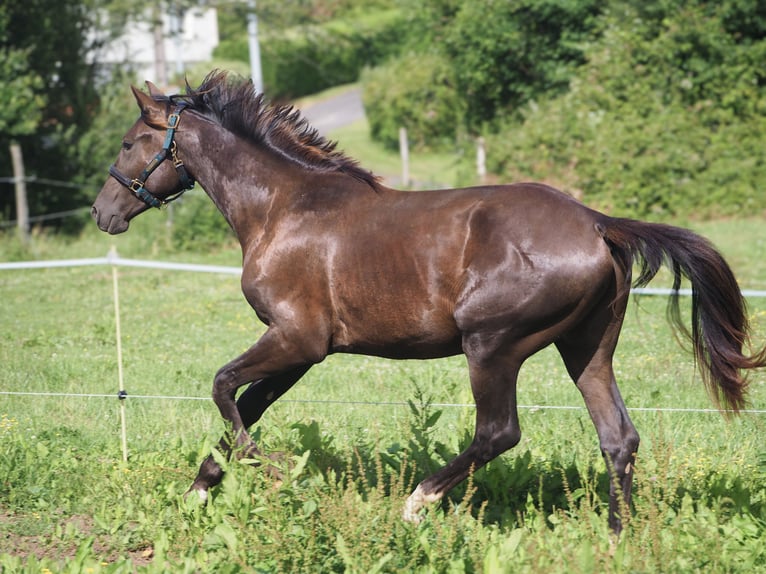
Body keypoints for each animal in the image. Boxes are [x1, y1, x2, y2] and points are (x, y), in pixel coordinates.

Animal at [91, 72, 766, 536]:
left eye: (127, 143)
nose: (103, 213)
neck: (281, 209)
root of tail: (599, 223)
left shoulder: (296, 339)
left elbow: (223, 390)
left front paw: (277, 472)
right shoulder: (303, 353)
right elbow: (240, 410)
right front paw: (199, 493)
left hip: (491, 345)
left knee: (499, 432)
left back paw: (418, 502)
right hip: (587, 348)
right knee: (618, 437)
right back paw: (616, 537)